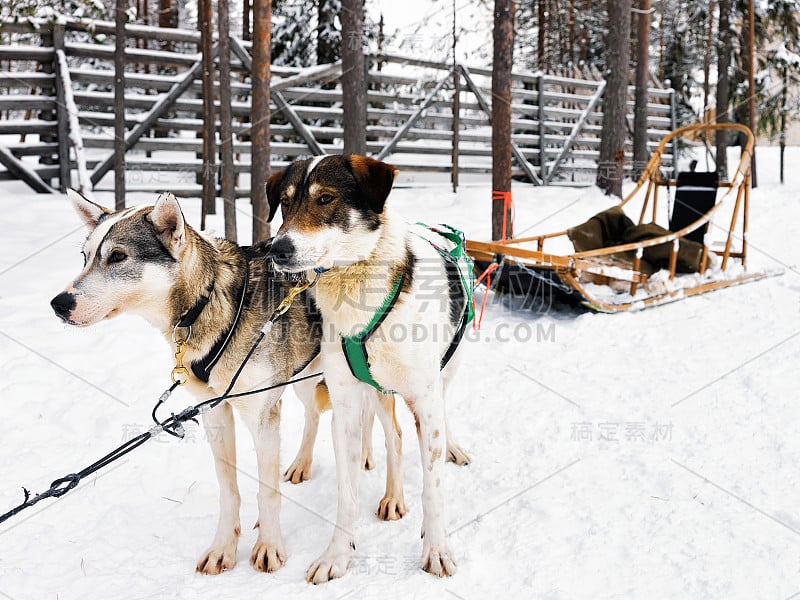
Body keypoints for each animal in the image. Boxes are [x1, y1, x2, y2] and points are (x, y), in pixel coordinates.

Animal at [51, 192, 406, 576]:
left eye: (117, 256)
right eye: (85, 257)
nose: (59, 303)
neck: (207, 301)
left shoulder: (262, 416)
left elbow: (266, 491)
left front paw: (269, 546)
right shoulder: (215, 413)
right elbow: (229, 489)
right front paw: (224, 546)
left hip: (369, 383)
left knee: (394, 434)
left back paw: (393, 497)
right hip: (305, 378)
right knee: (315, 415)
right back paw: (303, 463)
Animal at [266, 154, 472, 580]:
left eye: (325, 198)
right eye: (285, 203)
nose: (277, 249)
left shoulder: (425, 399)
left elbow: (433, 487)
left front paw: (437, 547)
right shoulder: (344, 400)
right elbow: (346, 494)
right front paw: (337, 555)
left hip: (444, 371)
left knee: (420, 423)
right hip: (325, 384)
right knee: (353, 424)